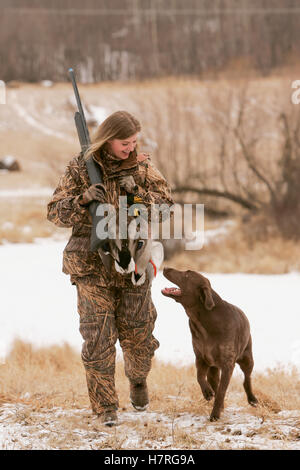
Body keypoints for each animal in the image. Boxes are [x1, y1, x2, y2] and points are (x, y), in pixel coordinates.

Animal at [162, 268, 258, 422]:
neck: (203, 320)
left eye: (187, 274)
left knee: (247, 378)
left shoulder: (228, 364)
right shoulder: (201, 358)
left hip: (247, 358)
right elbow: (200, 377)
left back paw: (252, 399)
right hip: (214, 369)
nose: (166, 268)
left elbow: (222, 391)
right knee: (214, 382)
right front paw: (207, 392)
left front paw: (215, 414)